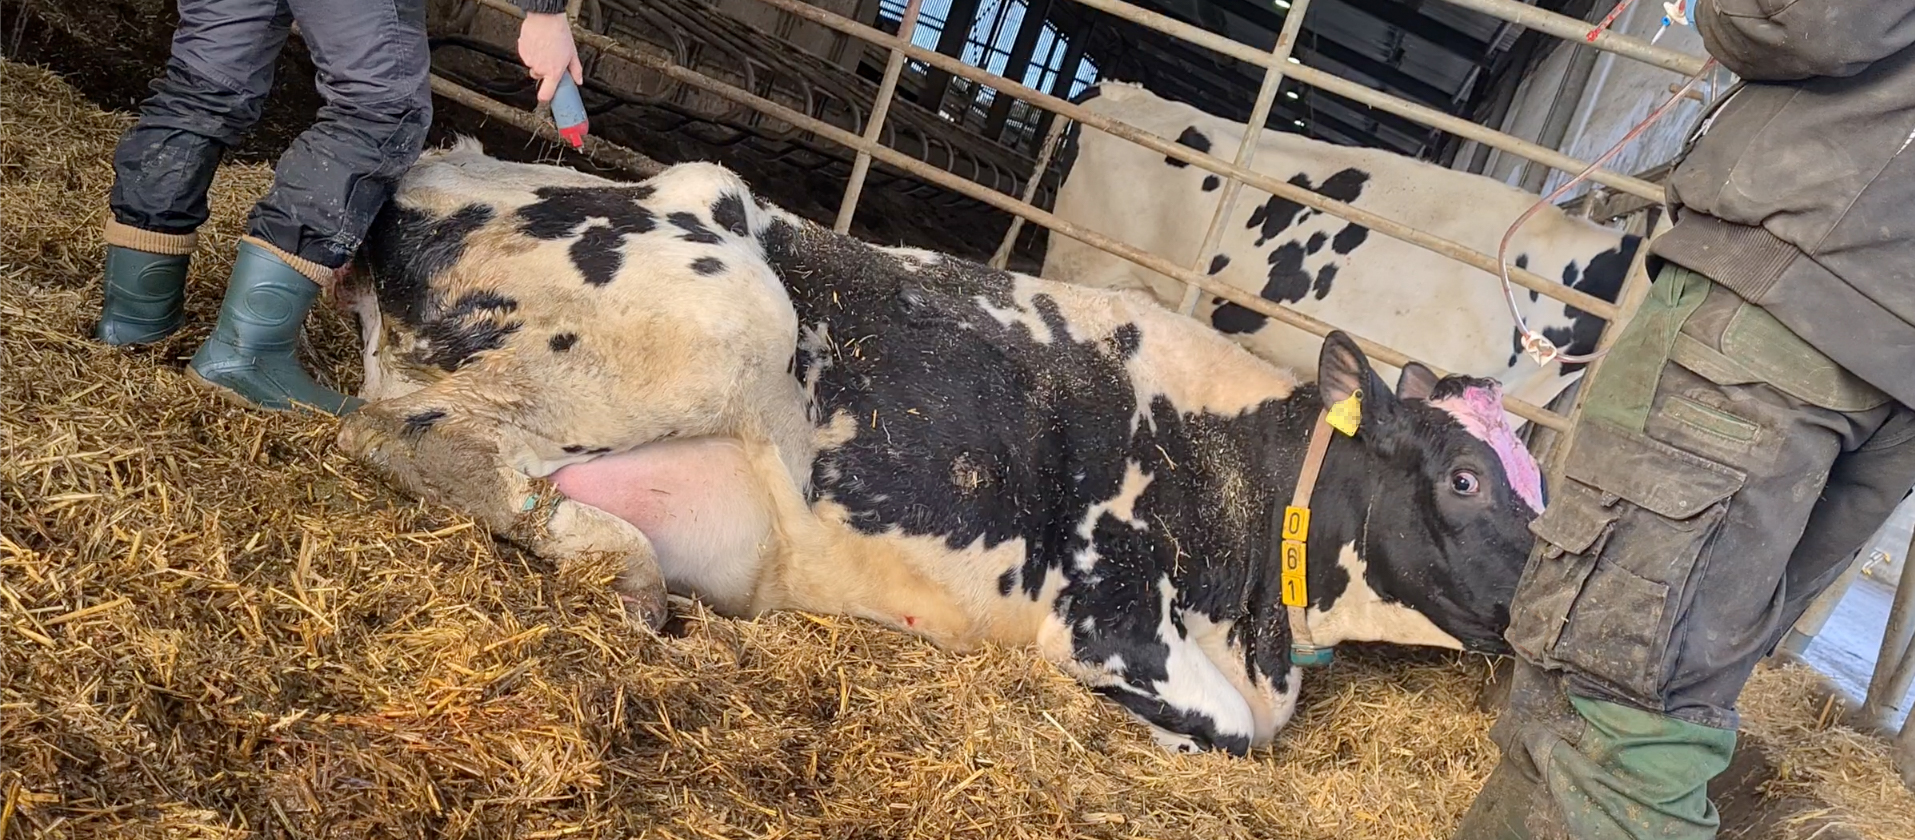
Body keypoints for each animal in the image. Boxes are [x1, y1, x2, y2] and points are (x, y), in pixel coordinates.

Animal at [334, 139, 1548, 756]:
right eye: (1464, 476)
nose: (1537, 615)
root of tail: (436, 172)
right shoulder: (1106, 619)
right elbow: (1226, 732)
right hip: (727, 321)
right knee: (403, 439)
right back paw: (625, 572)